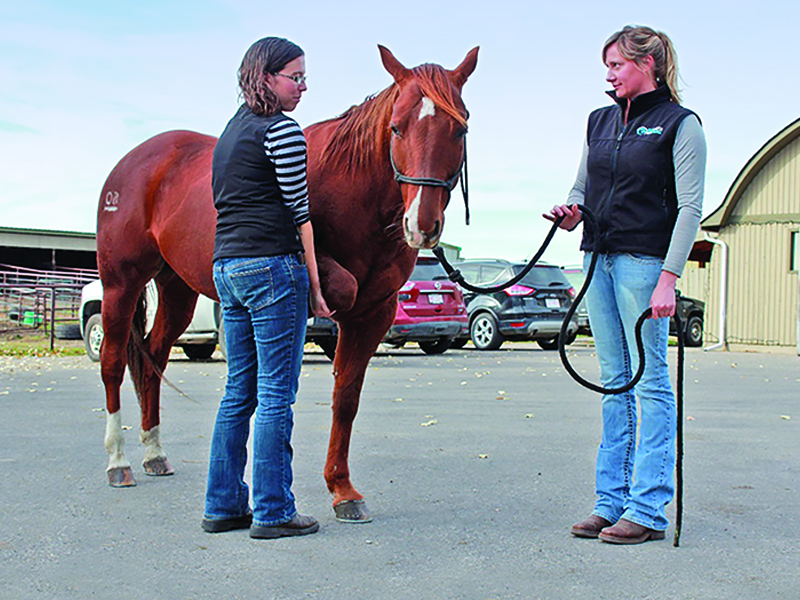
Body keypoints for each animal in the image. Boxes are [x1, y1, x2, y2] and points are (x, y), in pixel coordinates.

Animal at [96, 45, 478, 522]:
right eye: (396, 127)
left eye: (460, 129)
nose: (422, 225)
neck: (352, 190)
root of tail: (135, 160)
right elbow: (342, 287)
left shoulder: (375, 312)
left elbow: (346, 397)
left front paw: (342, 488)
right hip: (120, 284)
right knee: (113, 362)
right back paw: (119, 461)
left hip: (177, 289)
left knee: (153, 356)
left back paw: (154, 453)